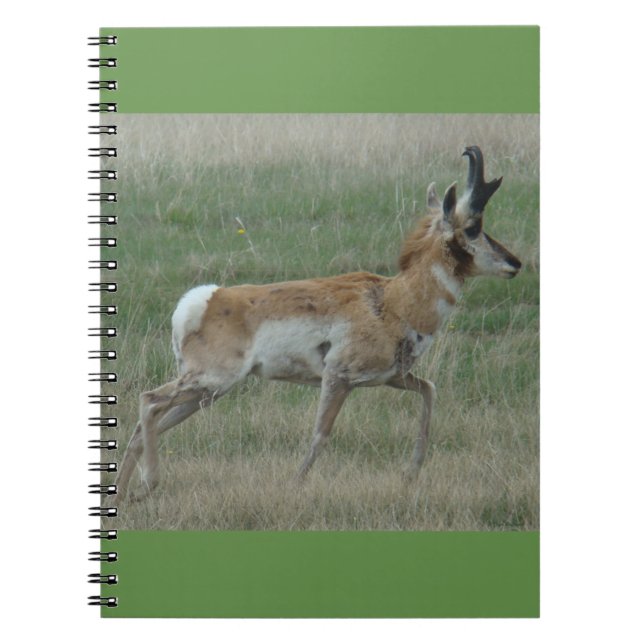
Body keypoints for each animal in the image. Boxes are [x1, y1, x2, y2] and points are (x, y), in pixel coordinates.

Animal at [115, 146, 521, 503]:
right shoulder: (338, 377)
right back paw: (147, 484)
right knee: (149, 402)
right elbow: (320, 434)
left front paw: (411, 473)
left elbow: (430, 391)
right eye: (474, 227)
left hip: (209, 392)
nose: (515, 263)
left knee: (145, 423)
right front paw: (295, 484)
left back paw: (123, 493)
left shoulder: (391, 377)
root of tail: (205, 300)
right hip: (211, 381)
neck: (393, 301)